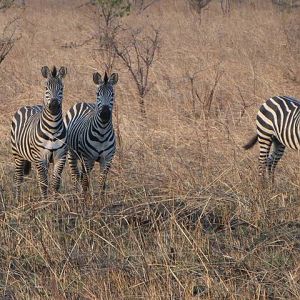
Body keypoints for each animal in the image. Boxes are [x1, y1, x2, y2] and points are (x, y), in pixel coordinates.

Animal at [10, 65, 67, 199]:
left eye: (61, 88)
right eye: (46, 88)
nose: (54, 106)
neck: (53, 129)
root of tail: (29, 106)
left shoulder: (60, 156)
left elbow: (55, 183)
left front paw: (54, 202)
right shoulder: (40, 157)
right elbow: (44, 182)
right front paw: (45, 202)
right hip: (18, 155)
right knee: (18, 178)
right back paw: (17, 200)